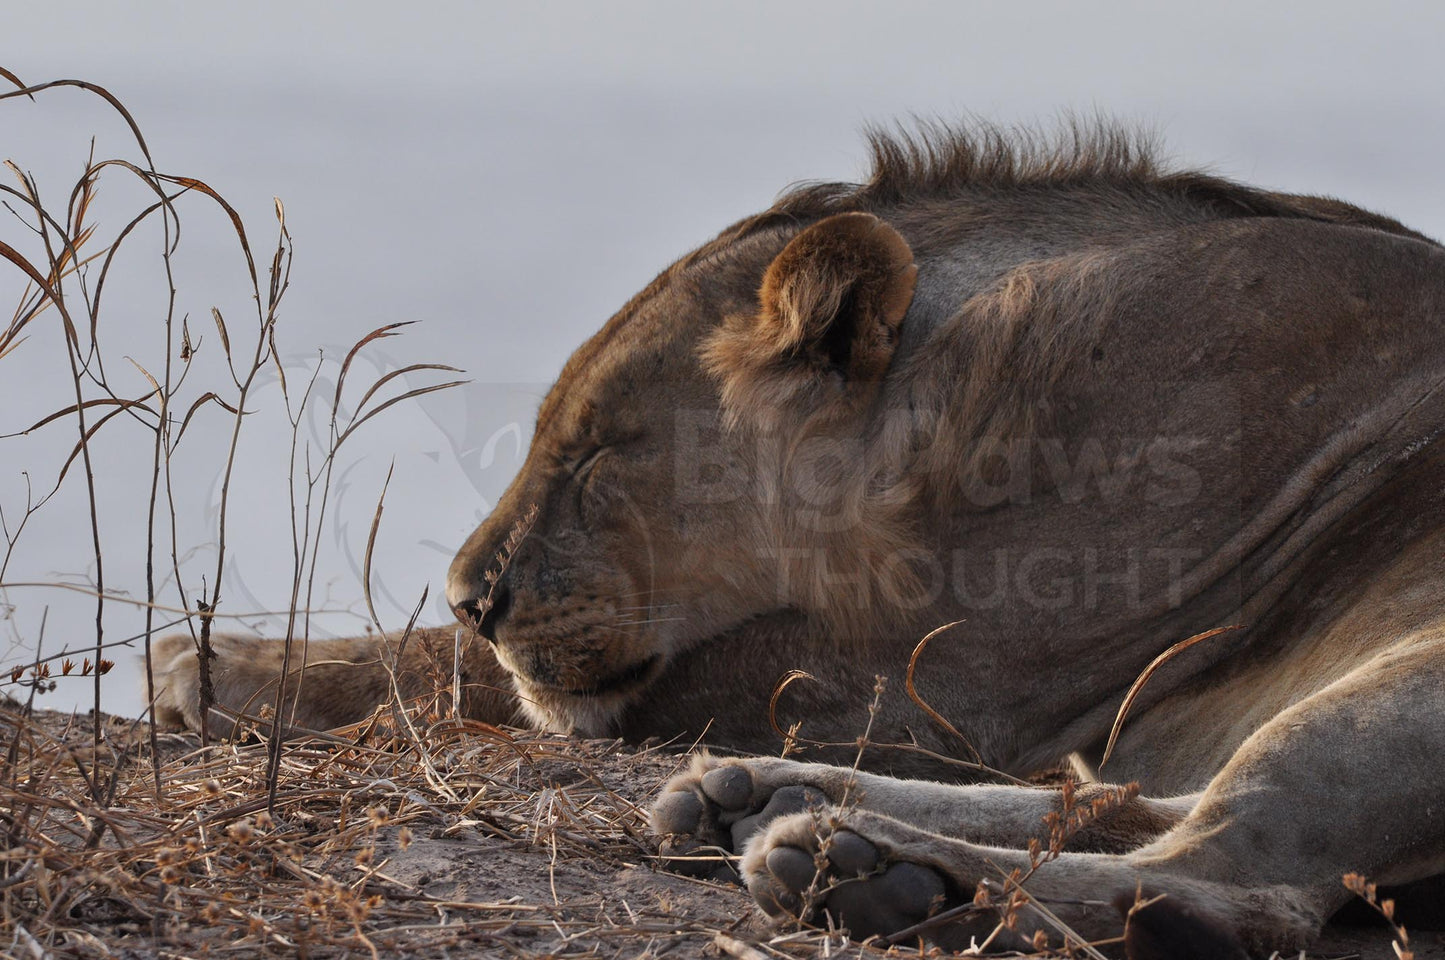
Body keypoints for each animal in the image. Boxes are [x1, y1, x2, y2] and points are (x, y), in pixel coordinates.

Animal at [158, 127, 1445, 960]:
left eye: (599, 453)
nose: (473, 594)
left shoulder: (952, 675)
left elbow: (473, 675)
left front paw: (217, 667)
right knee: (1141, 807)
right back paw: (752, 800)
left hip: (1403, 685)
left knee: (1226, 882)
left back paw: (866, 872)